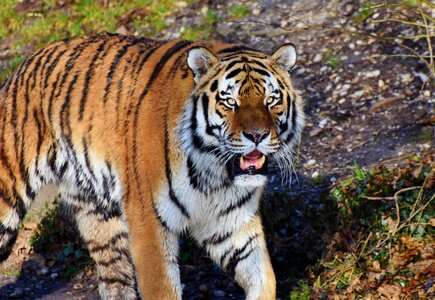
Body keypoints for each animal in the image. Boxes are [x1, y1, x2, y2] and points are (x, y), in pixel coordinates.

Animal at [0, 34, 304, 298]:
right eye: (230, 102)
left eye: (271, 100)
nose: (257, 136)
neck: (215, 172)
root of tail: (25, 64)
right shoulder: (149, 223)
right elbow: (162, 289)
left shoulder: (232, 225)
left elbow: (265, 278)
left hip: (100, 217)